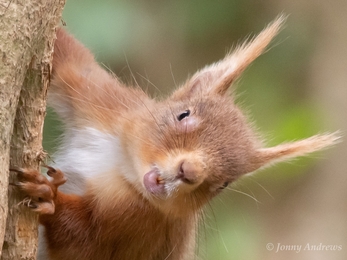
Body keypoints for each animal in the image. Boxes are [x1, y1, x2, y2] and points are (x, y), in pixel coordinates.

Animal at [11, 17, 340, 258]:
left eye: (224, 184)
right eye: (183, 115)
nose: (190, 171)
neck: (120, 166)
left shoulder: (140, 227)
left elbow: (82, 241)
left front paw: (48, 196)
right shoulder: (103, 99)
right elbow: (70, 60)